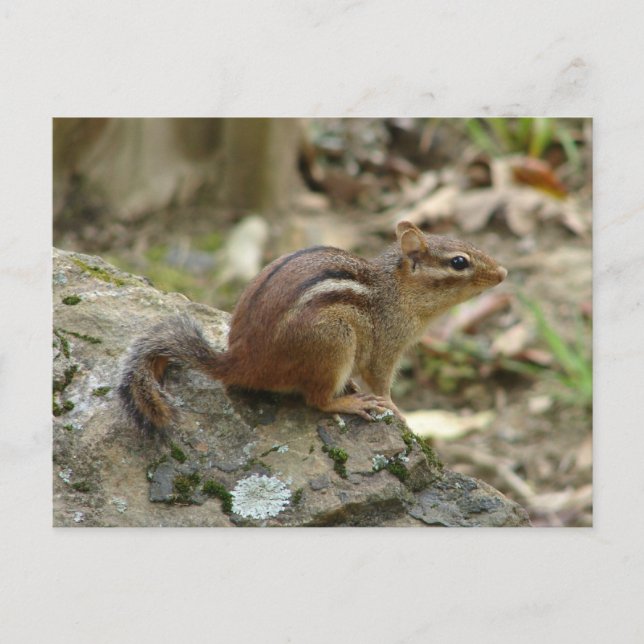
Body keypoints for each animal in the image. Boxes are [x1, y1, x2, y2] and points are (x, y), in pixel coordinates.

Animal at [118, 220, 507, 435]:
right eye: (459, 262)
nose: (504, 272)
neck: (395, 290)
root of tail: (241, 362)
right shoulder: (385, 346)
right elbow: (381, 383)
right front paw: (397, 410)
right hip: (334, 341)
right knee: (317, 400)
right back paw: (349, 402)